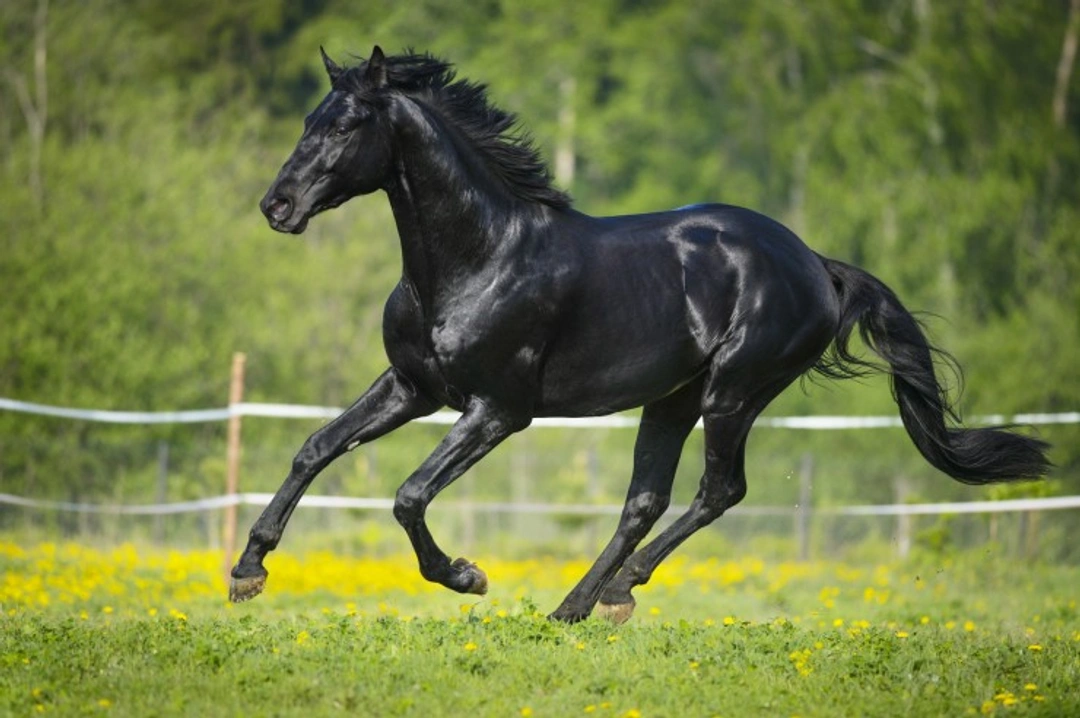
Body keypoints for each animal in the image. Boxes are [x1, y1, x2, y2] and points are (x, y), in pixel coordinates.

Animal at [229, 46, 1051, 623]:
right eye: (307, 122)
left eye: (345, 126)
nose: (277, 206)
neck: (478, 257)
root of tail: (816, 263)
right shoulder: (413, 387)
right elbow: (315, 448)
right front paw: (247, 572)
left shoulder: (498, 410)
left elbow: (408, 494)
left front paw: (466, 576)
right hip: (673, 399)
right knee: (645, 501)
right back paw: (580, 605)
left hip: (732, 393)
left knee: (719, 490)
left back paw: (610, 593)